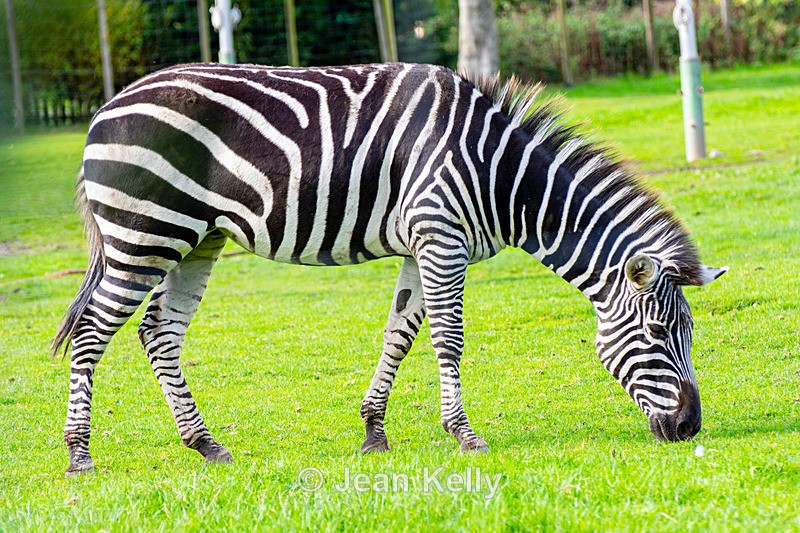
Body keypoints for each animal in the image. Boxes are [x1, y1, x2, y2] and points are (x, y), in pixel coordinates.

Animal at [52, 62, 726, 475]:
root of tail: (104, 109)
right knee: (92, 334)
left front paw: (374, 431)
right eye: (659, 333)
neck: (500, 175)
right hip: (143, 233)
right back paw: (80, 455)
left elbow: (399, 333)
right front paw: (465, 435)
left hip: (197, 239)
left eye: (690, 335)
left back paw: (206, 445)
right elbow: (449, 339)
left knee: (158, 332)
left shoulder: (420, 243)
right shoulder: (439, 235)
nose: (690, 428)